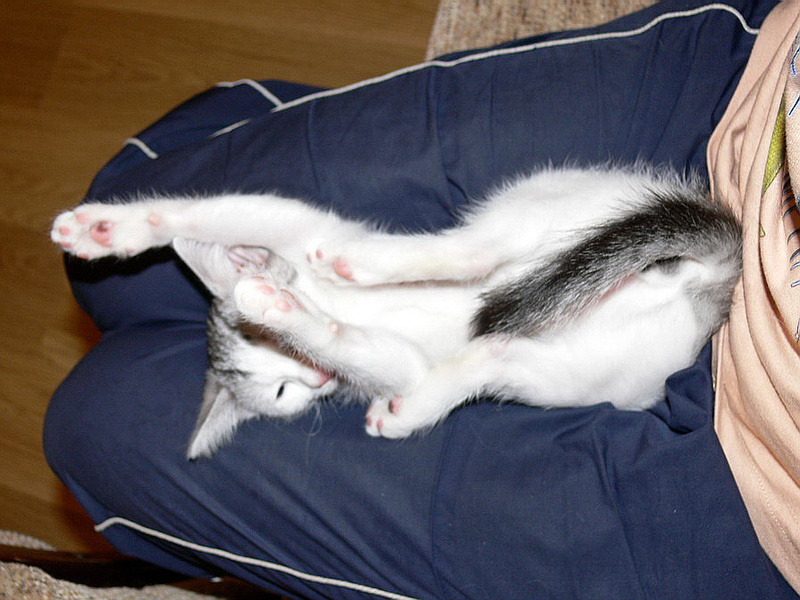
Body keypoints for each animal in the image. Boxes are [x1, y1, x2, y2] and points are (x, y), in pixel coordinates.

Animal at [51, 164, 742, 458]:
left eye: (283, 372)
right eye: (281, 394)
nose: (314, 381)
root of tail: (705, 280)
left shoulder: (299, 227)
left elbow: (216, 213)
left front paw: (109, 227)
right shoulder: (393, 360)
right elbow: (364, 350)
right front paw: (108, 231)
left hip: (548, 214)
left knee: (476, 261)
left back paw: (361, 269)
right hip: (564, 365)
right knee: (492, 337)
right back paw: (408, 397)